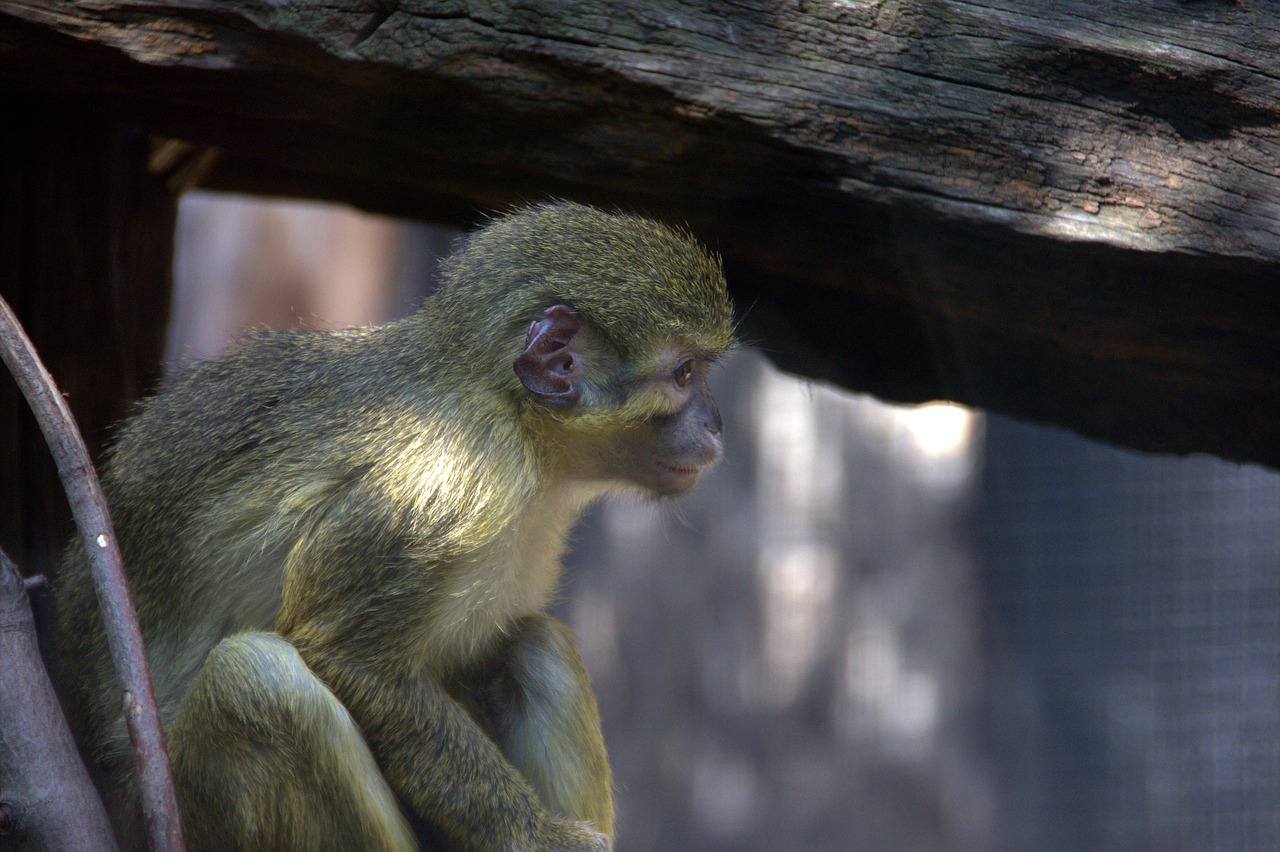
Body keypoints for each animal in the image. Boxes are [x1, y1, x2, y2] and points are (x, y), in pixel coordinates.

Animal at [52, 202, 732, 844]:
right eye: (684, 375)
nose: (717, 424)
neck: (520, 425)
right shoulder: (448, 483)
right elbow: (347, 658)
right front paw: (537, 840)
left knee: (537, 645)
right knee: (256, 679)